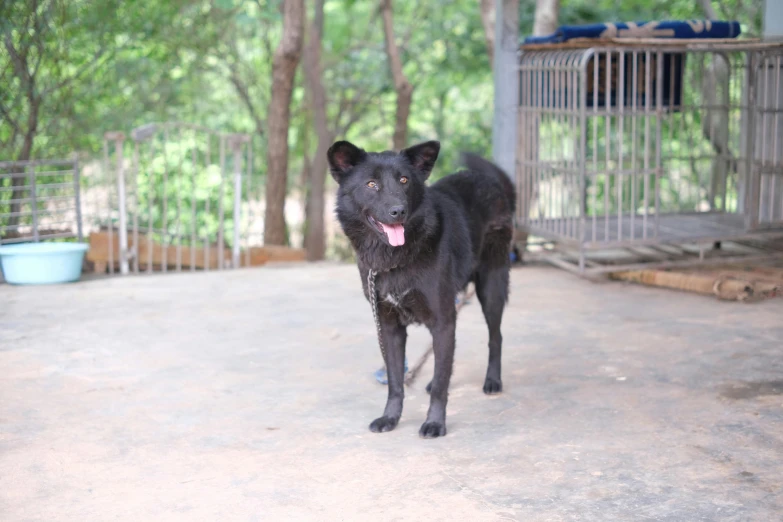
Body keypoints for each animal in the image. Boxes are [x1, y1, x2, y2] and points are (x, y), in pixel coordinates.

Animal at [328, 138, 516, 434]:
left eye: (404, 180)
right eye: (371, 184)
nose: (398, 211)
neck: (394, 258)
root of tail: (490, 181)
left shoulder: (442, 320)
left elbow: (440, 383)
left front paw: (435, 422)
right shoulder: (388, 326)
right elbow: (396, 381)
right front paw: (390, 418)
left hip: (491, 287)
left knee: (495, 337)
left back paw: (493, 381)